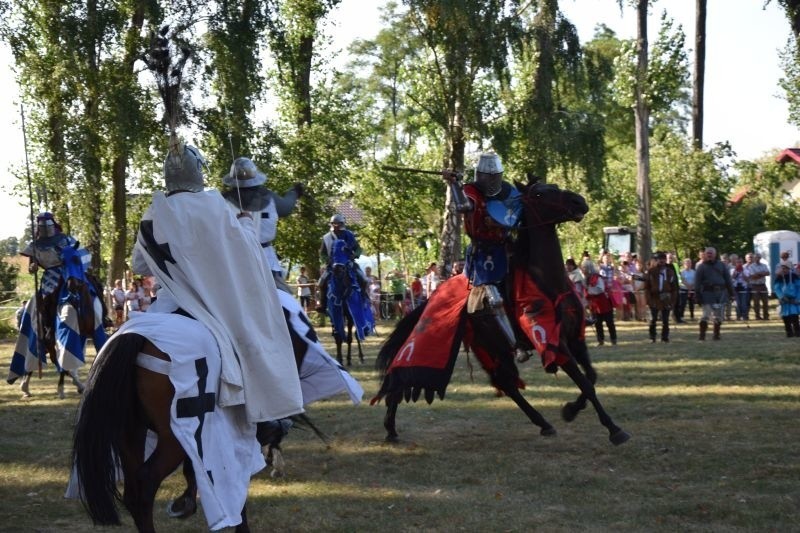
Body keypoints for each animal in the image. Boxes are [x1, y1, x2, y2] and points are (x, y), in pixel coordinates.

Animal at [376, 179, 632, 444]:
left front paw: (571, 410)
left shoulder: (575, 340)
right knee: (405, 378)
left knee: (506, 383)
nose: (579, 202)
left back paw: (543, 423)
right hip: (481, 345)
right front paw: (613, 429)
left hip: (490, 348)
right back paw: (390, 428)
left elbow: (591, 377)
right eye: (539, 194)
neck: (548, 283)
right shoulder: (555, 344)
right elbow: (586, 383)